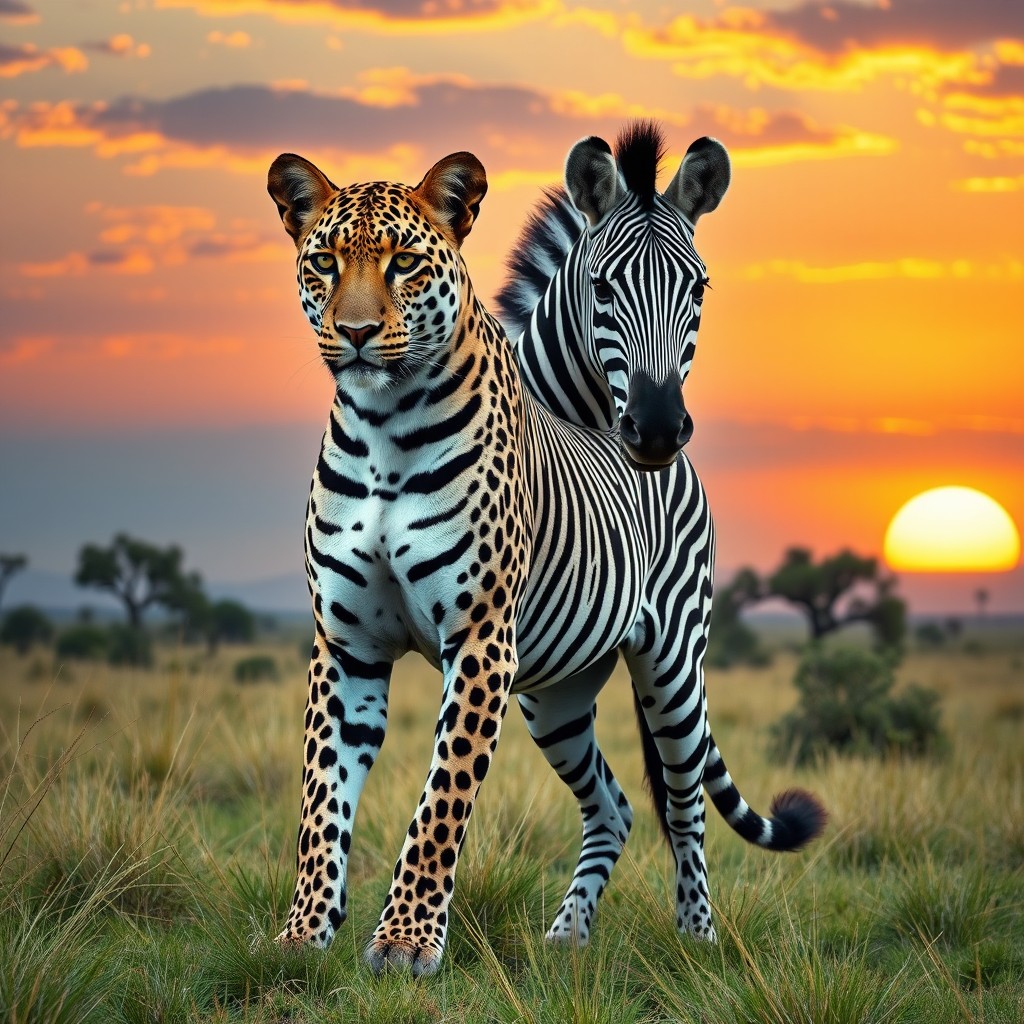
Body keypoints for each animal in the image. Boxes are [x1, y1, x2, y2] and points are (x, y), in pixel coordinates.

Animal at [266, 136, 825, 976]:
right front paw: (304, 940)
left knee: (685, 804)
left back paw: (696, 939)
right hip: (555, 697)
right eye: (325, 263)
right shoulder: (346, 642)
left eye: (405, 264)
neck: (382, 429)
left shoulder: (479, 641)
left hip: (670, 669)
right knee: (616, 806)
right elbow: (321, 800)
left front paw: (403, 945)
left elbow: (440, 800)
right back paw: (567, 938)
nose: (656, 427)